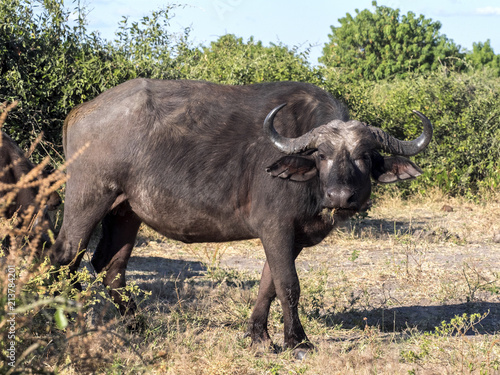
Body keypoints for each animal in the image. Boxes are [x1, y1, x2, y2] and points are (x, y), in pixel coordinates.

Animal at [51, 78, 434, 356]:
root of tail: (79, 112)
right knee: (64, 258)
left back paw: (138, 327)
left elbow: (268, 284)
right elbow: (289, 285)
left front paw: (259, 337)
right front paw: (298, 341)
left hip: (125, 212)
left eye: (365, 156)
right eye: (322, 155)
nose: (341, 197)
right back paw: (68, 322)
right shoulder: (276, 228)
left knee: (110, 268)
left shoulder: (290, 237)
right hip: (87, 201)